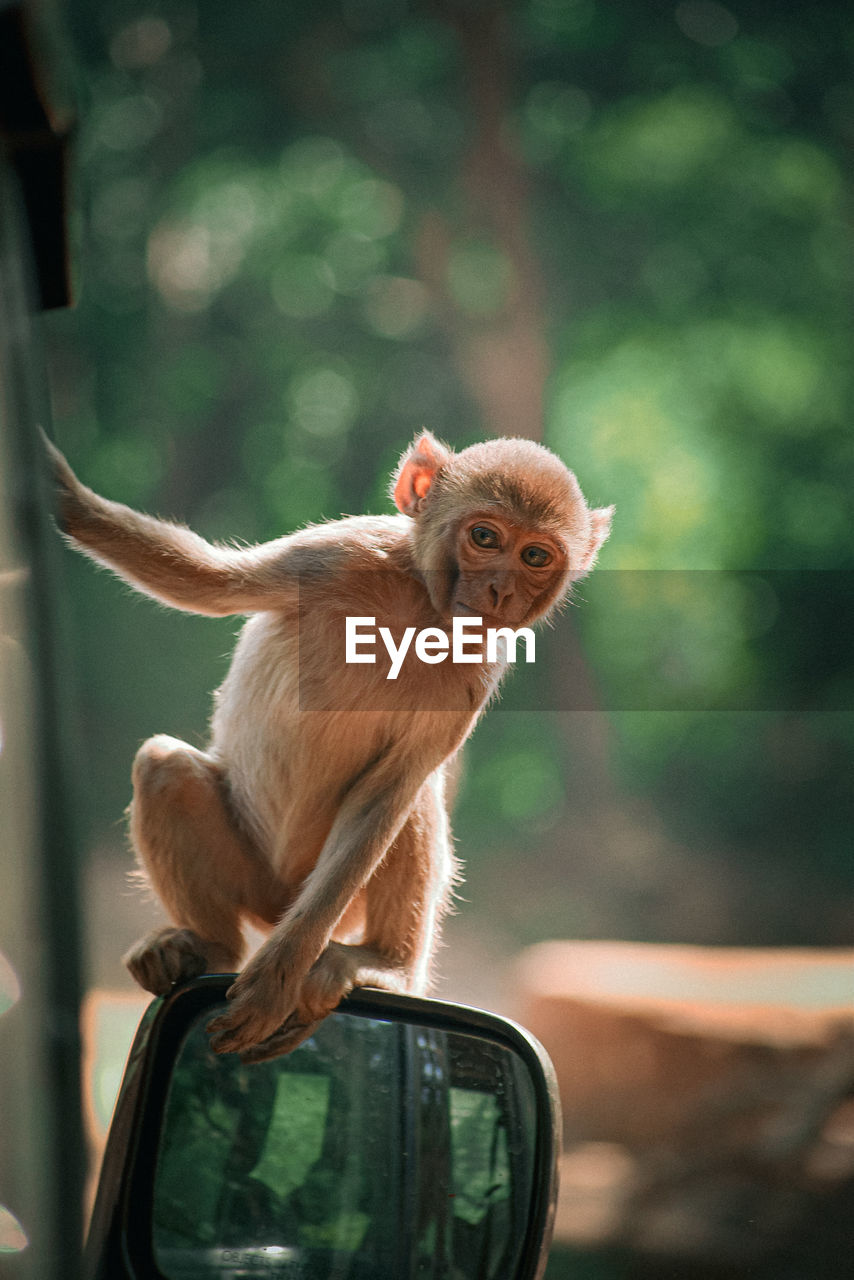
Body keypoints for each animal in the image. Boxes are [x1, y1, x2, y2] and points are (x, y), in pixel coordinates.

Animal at [46, 430, 612, 1059]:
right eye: (485, 537)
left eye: (535, 556)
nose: (499, 591)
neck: (421, 610)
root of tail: (274, 905)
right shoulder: (337, 552)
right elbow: (210, 584)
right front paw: (61, 489)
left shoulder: (480, 669)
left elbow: (390, 792)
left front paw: (278, 976)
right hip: (251, 873)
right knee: (164, 766)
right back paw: (209, 949)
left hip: (331, 910)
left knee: (411, 803)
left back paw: (384, 966)